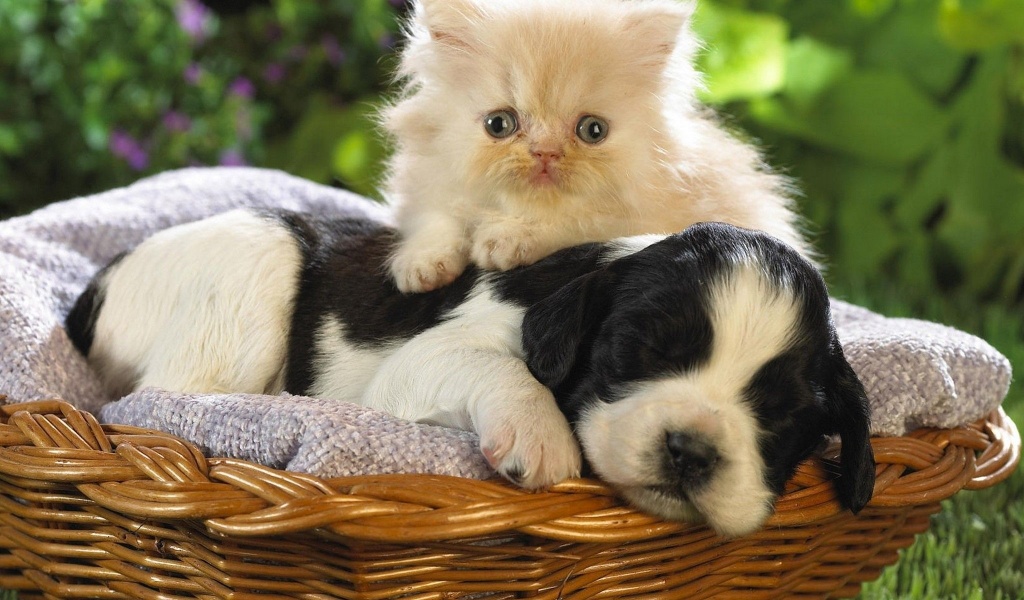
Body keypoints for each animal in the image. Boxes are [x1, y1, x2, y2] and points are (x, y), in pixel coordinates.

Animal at [68, 207, 876, 536]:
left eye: (781, 414)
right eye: (640, 354)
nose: (691, 450)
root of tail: (96, 284)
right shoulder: (427, 359)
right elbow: (497, 368)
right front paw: (540, 435)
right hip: (251, 267)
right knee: (163, 397)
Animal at [380, 0, 811, 292]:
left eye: (592, 131)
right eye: (499, 124)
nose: (546, 152)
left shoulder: (638, 220)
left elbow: (574, 220)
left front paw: (507, 239)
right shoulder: (426, 182)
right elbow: (436, 216)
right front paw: (421, 263)